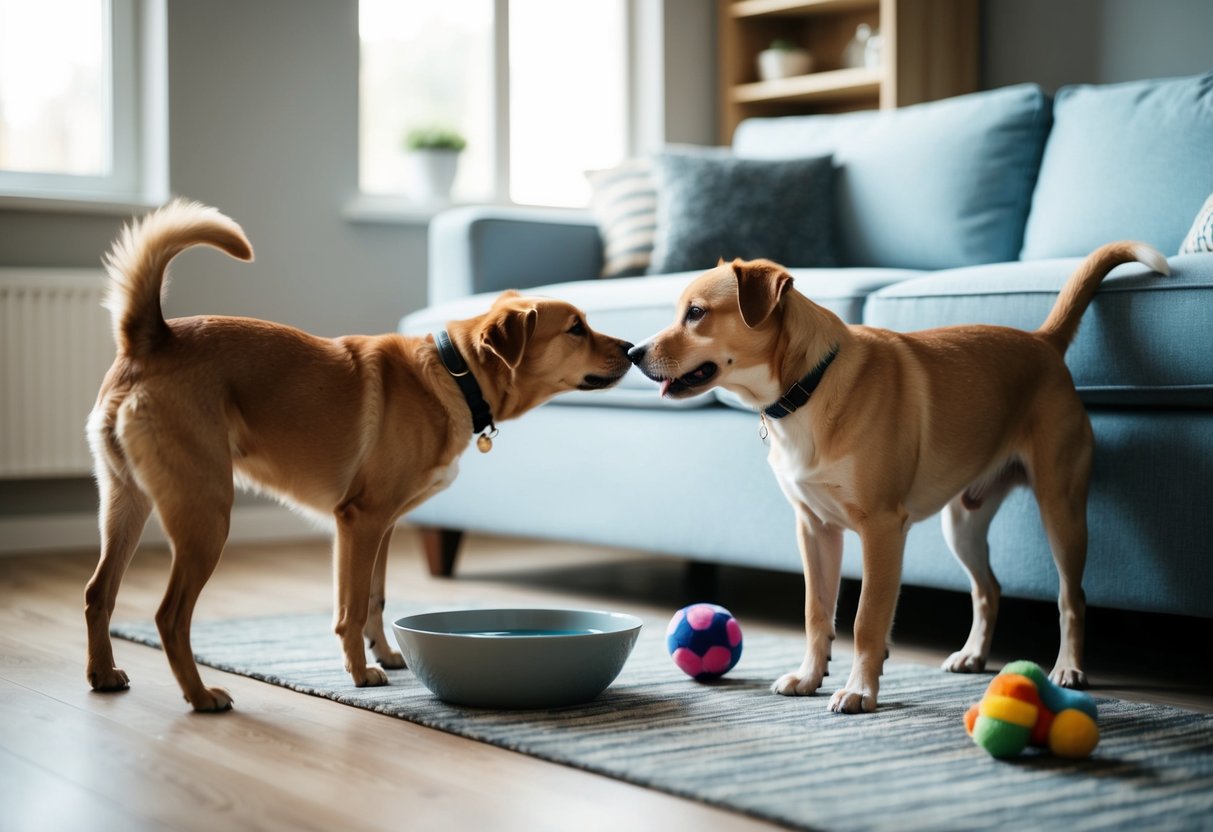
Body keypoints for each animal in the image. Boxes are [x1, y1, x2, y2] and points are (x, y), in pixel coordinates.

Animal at [85, 200, 635, 708]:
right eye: (577, 328)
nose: (632, 348)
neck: (455, 374)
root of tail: (150, 341)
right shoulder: (360, 520)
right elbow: (349, 609)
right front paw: (359, 673)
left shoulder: (380, 526)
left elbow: (375, 597)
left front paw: (386, 655)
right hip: (206, 513)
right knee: (169, 616)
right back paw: (200, 696)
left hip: (125, 502)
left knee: (98, 594)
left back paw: (104, 675)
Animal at [625, 242, 1164, 717]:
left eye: (696, 313)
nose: (633, 351)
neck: (807, 388)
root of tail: (1042, 342)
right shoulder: (814, 529)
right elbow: (816, 613)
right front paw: (809, 676)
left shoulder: (881, 529)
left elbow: (867, 620)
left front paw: (859, 690)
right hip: (962, 525)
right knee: (988, 589)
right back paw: (973, 654)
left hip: (1061, 509)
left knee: (1072, 597)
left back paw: (1068, 667)